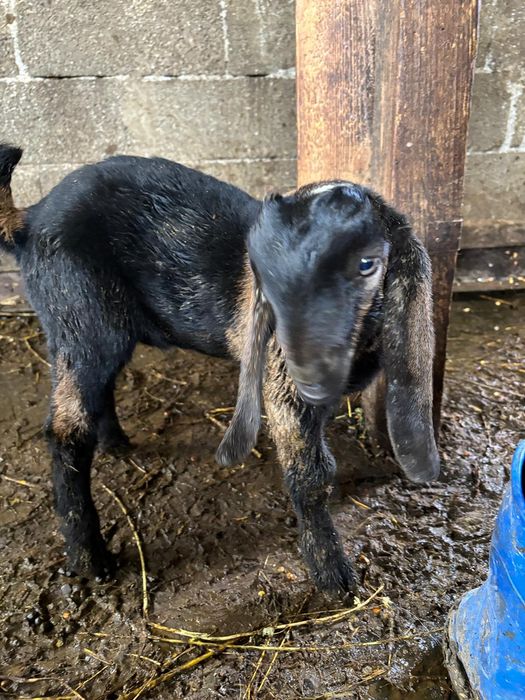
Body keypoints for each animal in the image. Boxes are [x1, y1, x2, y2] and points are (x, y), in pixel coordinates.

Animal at [0, 144, 439, 596]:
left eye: (366, 263)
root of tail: (30, 219)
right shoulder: (282, 380)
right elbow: (311, 472)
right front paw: (335, 579)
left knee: (95, 392)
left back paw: (117, 445)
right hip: (79, 313)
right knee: (66, 429)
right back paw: (91, 560)